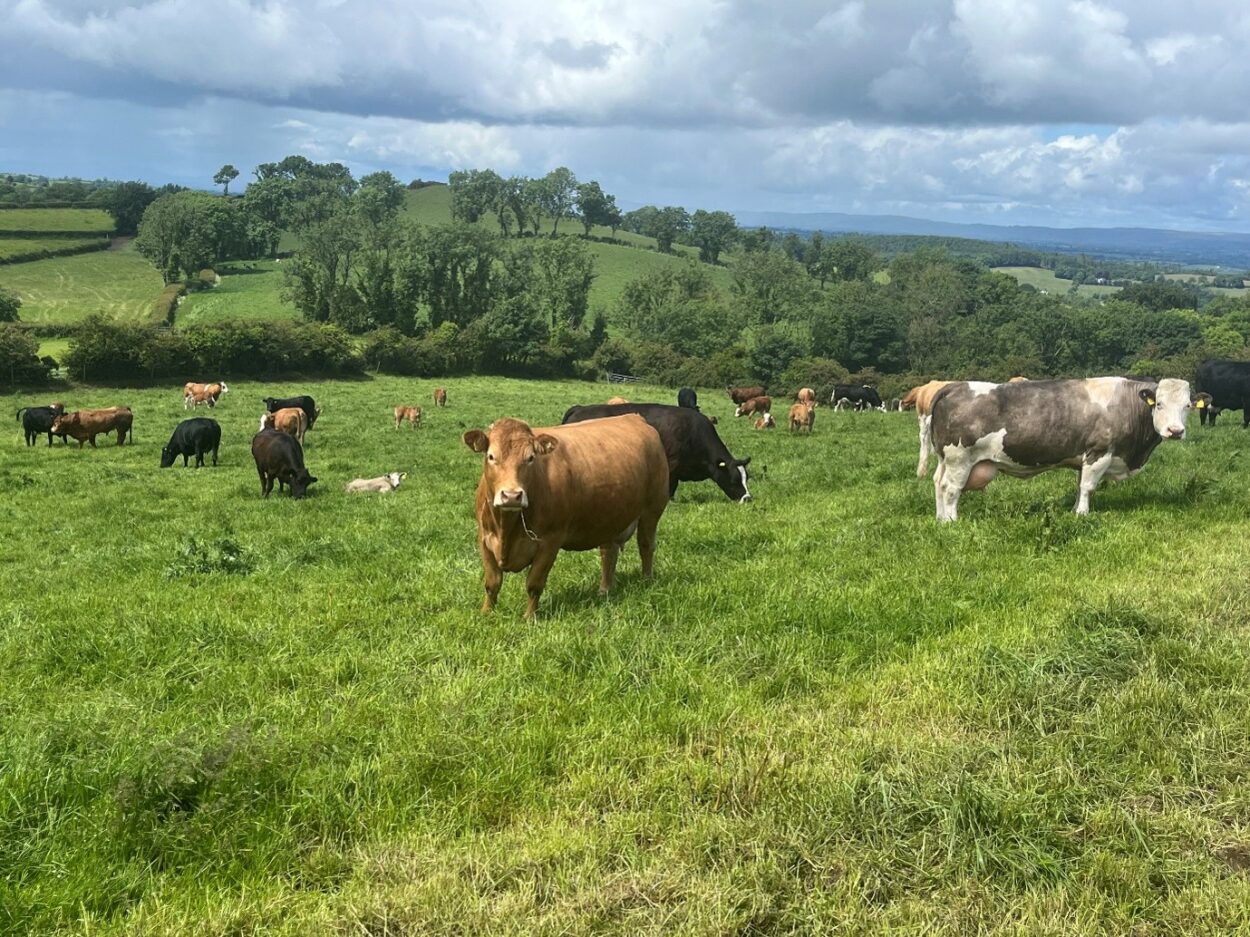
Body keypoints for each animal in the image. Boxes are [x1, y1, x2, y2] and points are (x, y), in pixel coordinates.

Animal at [464, 415, 670, 618]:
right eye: (491, 456)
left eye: (530, 458)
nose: (512, 496)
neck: (506, 528)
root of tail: (635, 417)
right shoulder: (484, 538)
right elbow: (492, 583)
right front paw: (486, 613)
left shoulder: (550, 541)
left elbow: (534, 584)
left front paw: (530, 617)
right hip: (610, 518)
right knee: (608, 552)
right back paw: (604, 590)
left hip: (652, 510)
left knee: (646, 545)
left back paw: (646, 580)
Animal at [561, 402, 752, 503]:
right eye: (734, 480)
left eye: (746, 478)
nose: (747, 498)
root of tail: (580, 408)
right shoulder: (672, 465)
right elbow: (671, 487)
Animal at [929, 377, 1195, 521]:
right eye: (1158, 404)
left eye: (1188, 406)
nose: (1175, 431)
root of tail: (953, 386)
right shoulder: (1099, 453)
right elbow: (1088, 487)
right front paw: (1083, 514)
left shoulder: (1085, 458)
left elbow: (1080, 486)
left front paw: (1075, 509)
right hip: (959, 459)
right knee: (951, 488)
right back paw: (952, 520)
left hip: (945, 460)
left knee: (938, 483)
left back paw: (941, 519)